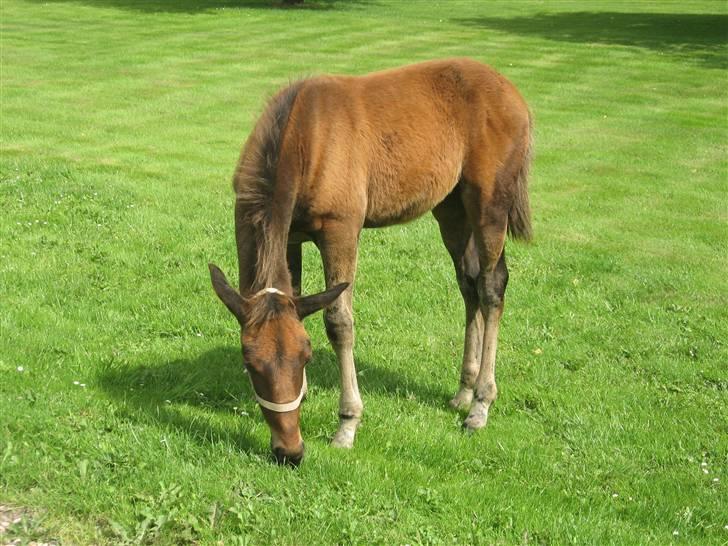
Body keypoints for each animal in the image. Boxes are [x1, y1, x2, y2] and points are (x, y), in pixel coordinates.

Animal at [208, 58, 532, 464]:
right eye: (249, 362)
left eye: (305, 357)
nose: (290, 451)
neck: (304, 137)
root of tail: (513, 93)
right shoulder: (291, 237)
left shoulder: (341, 230)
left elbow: (339, 322)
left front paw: (347, 423)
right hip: (452, 208)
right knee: (468, 283)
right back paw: (463, 391)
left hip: (490, 203)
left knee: (491, 286)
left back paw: (481, 404)